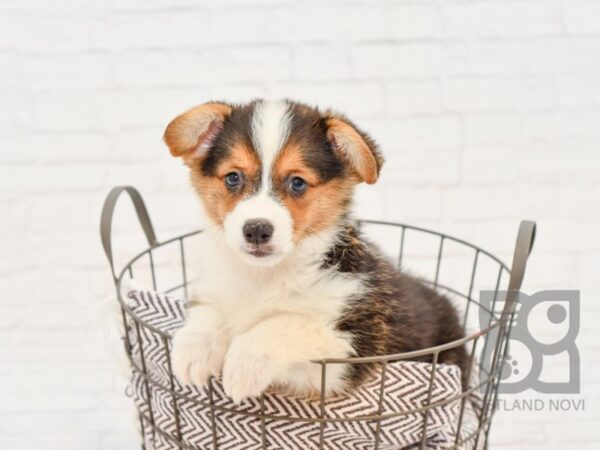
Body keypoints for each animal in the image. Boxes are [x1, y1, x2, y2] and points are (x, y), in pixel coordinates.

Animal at [165, 100, 468, 402]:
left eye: (297, 182)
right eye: (232, 177)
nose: (257, 230)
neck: (265, 276)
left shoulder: (347, 352)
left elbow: (285, 324)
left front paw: (243, 364)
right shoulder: (217, 291)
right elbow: (208, 310)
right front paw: (193, 350)